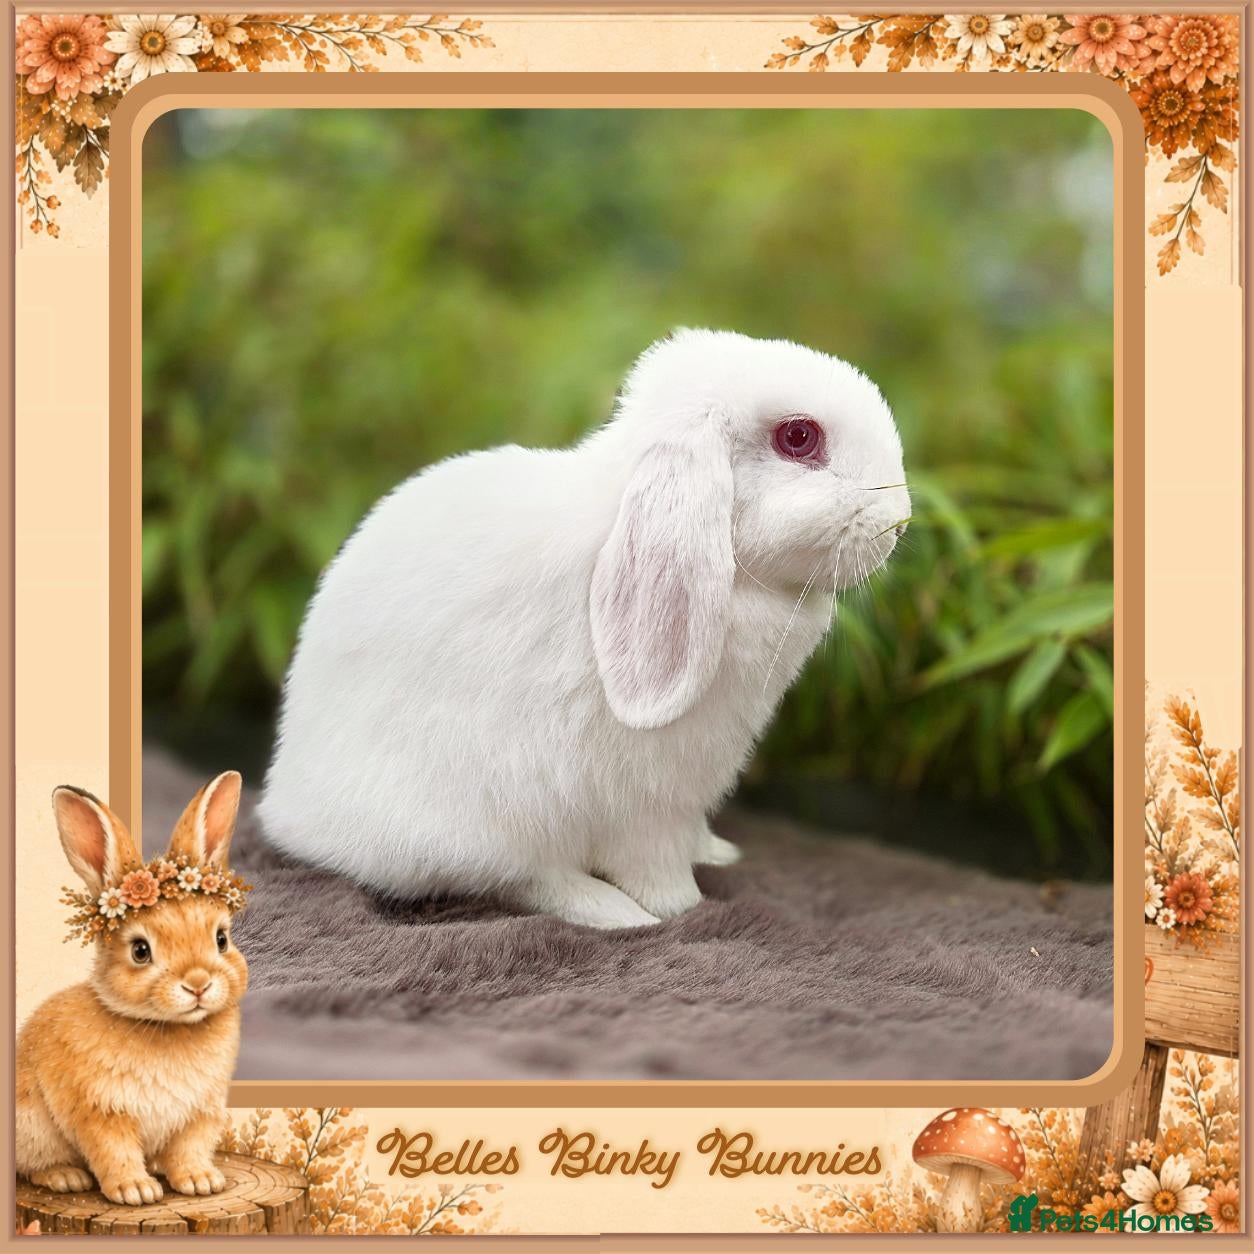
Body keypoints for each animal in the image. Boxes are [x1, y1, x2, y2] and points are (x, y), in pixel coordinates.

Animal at [16, 773, 249, 1205]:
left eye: (221, 939)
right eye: (140, 951)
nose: (198, 984)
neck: (168, 1028)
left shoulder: (200, 1113)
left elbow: (190, 1149)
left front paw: (201, 1182)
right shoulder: (101, 1111)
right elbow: (114, 1151)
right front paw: (135, 1191)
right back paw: (65, 1177)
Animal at [258, 328, 909, 929]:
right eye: (798, 438)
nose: (899, 522)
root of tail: (291, 810)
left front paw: (717, 852)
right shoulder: (653, 805)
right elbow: (658, 868)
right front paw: (684, 909)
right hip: (477, 821)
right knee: (521, 878)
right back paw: (613, 911)